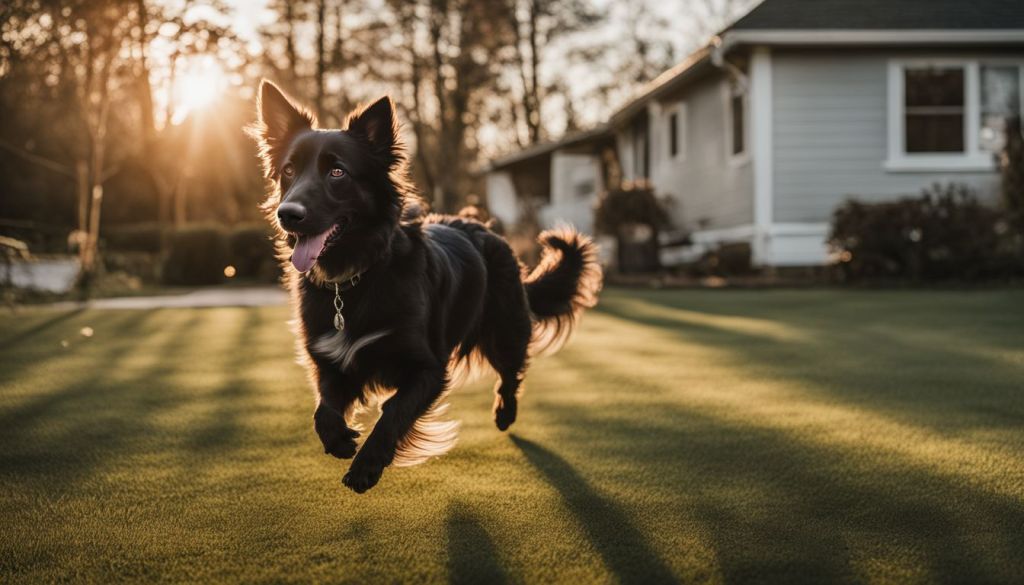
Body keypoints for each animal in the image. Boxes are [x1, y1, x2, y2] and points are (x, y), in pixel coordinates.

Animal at [247, 81, 598, 493]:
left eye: (337, 172)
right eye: (288, 170)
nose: (288, 214)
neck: (355, 278)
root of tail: (482, 227)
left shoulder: (428, 368)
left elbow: (393, 412)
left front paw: (367, 466)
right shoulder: (330, 360)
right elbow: (323, 409)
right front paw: (340, 439)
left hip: (506, 331)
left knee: (511, 374)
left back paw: (504, 414)